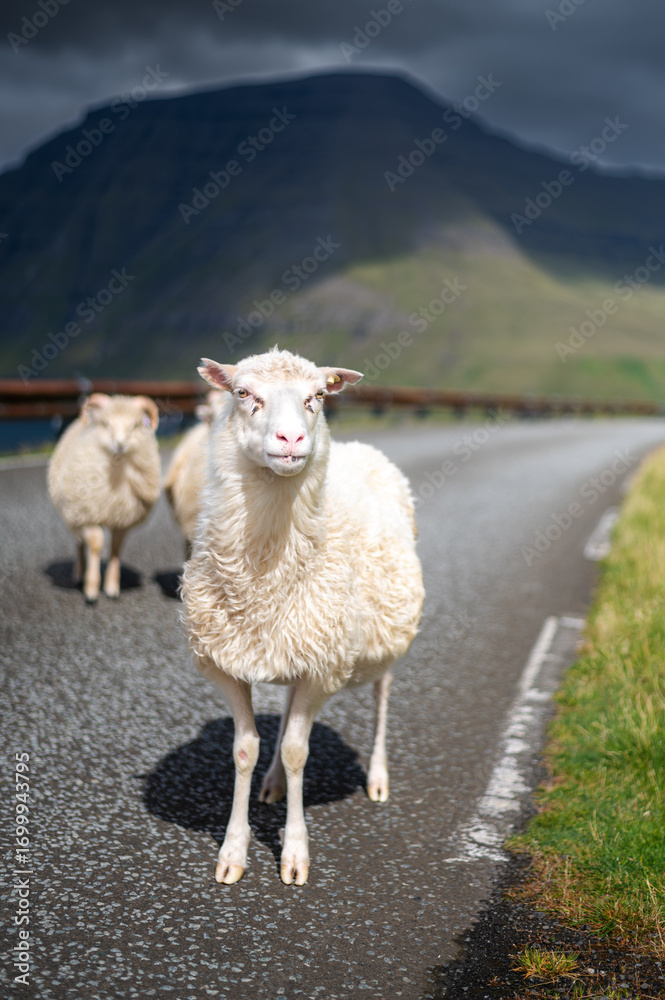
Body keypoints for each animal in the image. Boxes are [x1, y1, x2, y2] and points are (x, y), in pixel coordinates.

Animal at [47, 393, 161, 603]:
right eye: (106, 423)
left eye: (135, 425)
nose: (120, 444)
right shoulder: (88, 514)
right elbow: (95, 544)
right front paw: (91, 589)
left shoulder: (123, 519)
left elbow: (116, 548)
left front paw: (111, 587)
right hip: (73, 514)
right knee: (79, 542)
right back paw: (79, 573)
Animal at [180, 348, 424, 886]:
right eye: (243, 393)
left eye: (316, 397)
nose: (291, 439)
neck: (265, 571)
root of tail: (362, 448)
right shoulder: (229, 664)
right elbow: (244, 750)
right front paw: (232, 852)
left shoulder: (324, 669)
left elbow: (298, 751)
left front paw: (294, 854)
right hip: (297, 641)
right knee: (289, 704)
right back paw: (272, 782)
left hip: (380, 638)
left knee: (382, 694)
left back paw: (378, 777)